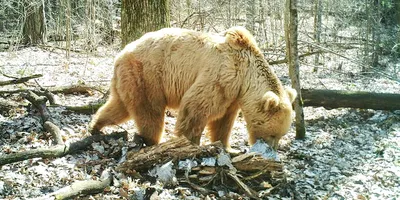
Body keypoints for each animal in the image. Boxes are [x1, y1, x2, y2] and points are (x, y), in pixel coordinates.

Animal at [89, 26, 296, 150]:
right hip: (147, 75)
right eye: (273, 134)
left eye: (281, 135)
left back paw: (95, 125)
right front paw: (189, 143)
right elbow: (196, 107)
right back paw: (151, 140)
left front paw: (226, 147)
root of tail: (120, 54)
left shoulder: (233, 94)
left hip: (128, 78)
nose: (272, 148)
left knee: (119, 106)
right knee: (149, 111)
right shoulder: (222, 76)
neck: (246, 76)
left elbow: (223, 121)